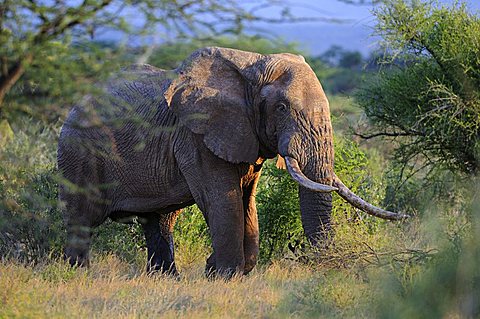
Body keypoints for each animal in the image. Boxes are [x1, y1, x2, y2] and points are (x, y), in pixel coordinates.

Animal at [57, 46, 408, 278]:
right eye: (281, 108)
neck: (251, 66)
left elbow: (246, 200)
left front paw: (223, 271)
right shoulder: (196, 134)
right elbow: (222, 200)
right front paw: (222, 274)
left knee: (159, 221)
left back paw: (164, 279)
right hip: (79, 153)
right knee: (83, 218)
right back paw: (77, 275)